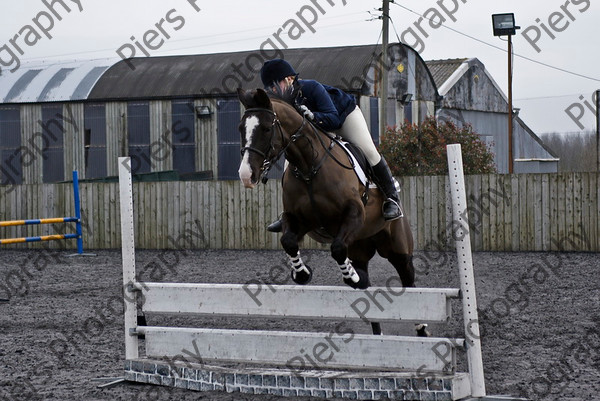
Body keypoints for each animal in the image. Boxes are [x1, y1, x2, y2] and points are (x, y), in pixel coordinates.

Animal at [236, 89, 418, 332]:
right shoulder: (297, 219)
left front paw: (351, 278)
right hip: (360, 249)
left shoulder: (354, 214)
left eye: (266, 128)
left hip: (399, 251)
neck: (309, 167)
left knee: (409, 282)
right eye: (241, 128)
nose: (246, 175)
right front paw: (301, 273)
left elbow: (338, 248)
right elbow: (288, 241)